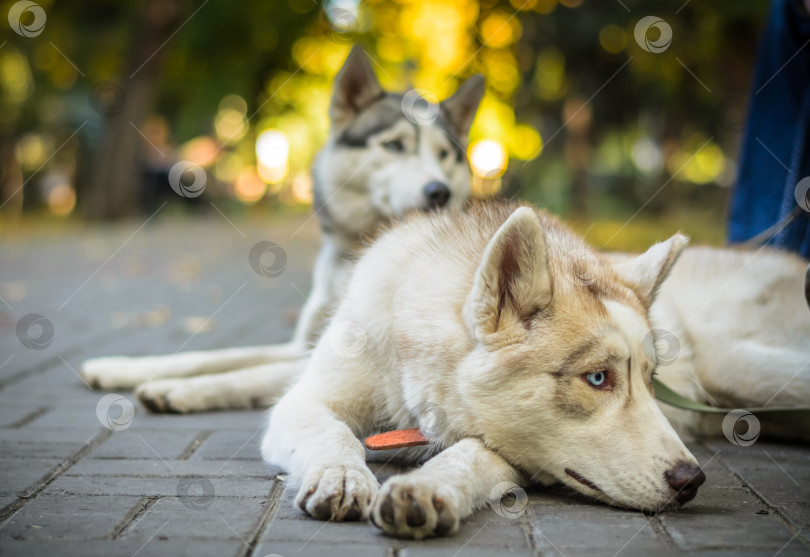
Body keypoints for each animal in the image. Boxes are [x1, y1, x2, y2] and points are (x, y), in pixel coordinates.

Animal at [80, 45, 486, 410]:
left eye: (445, 155)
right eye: (394, 146)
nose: (439, 192)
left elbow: (244, 374)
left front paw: (179, 389)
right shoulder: (300, 345)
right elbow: (213, 355)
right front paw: (119, 367)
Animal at [264, 200, 808, 540]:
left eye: (650, 380)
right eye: (597, 378)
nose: (691, 480)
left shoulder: (509, 449)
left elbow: (467, 456)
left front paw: (429, 488)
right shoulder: (305, 400)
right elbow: (332, 434)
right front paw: (341, 476)